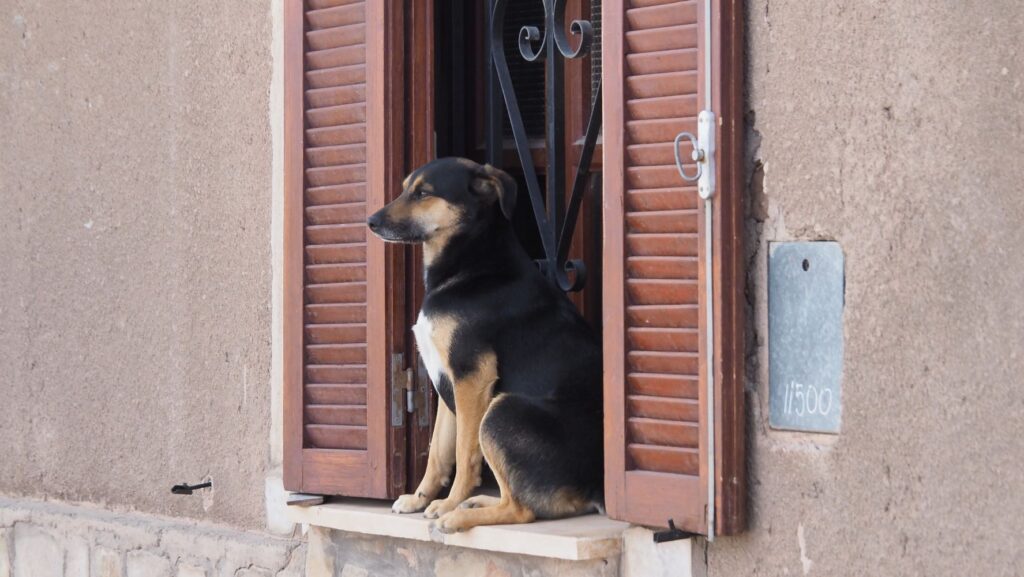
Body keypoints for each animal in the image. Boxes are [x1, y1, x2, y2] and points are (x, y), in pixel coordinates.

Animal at [368, 156, 602, 532]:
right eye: (405, 189)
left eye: (423, 193)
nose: (371, 222)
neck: (472, 263)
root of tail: (596, 487)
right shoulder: (447, 383)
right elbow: (438, 451)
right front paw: (420, 498)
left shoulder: (471, 378)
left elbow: (463, 454)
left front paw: (448, 504)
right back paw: (477, 503)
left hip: (501, 409)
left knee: (523, 509)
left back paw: (460, 515)